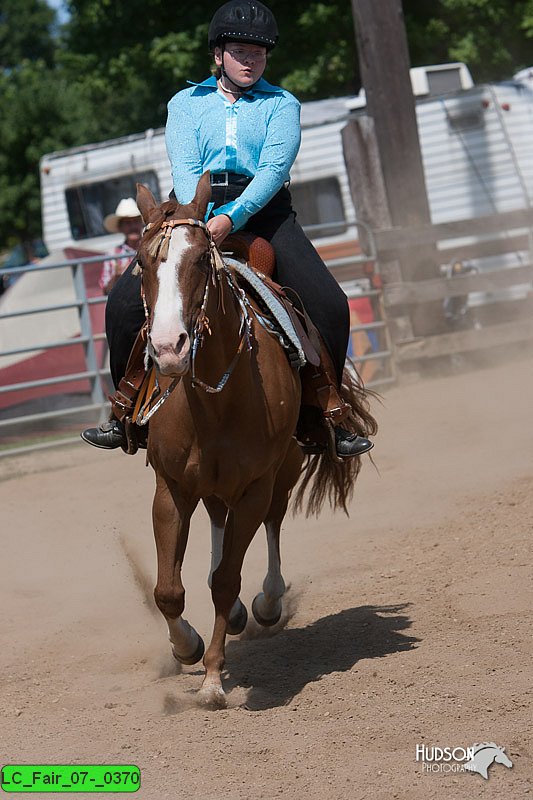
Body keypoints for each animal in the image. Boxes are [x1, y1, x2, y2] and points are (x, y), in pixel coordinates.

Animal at [135, 173, 372, 708]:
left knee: (273, 523)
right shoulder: (170, 489)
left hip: (282, 473)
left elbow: (226, 582)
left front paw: (212, 678)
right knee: (217, 522)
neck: (214, 401)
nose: (168, 348)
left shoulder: (253, 488)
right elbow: (168, 590)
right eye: (141, 262)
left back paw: (265, 602)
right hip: (211, 487)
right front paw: (186, 646)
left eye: (201, 261)